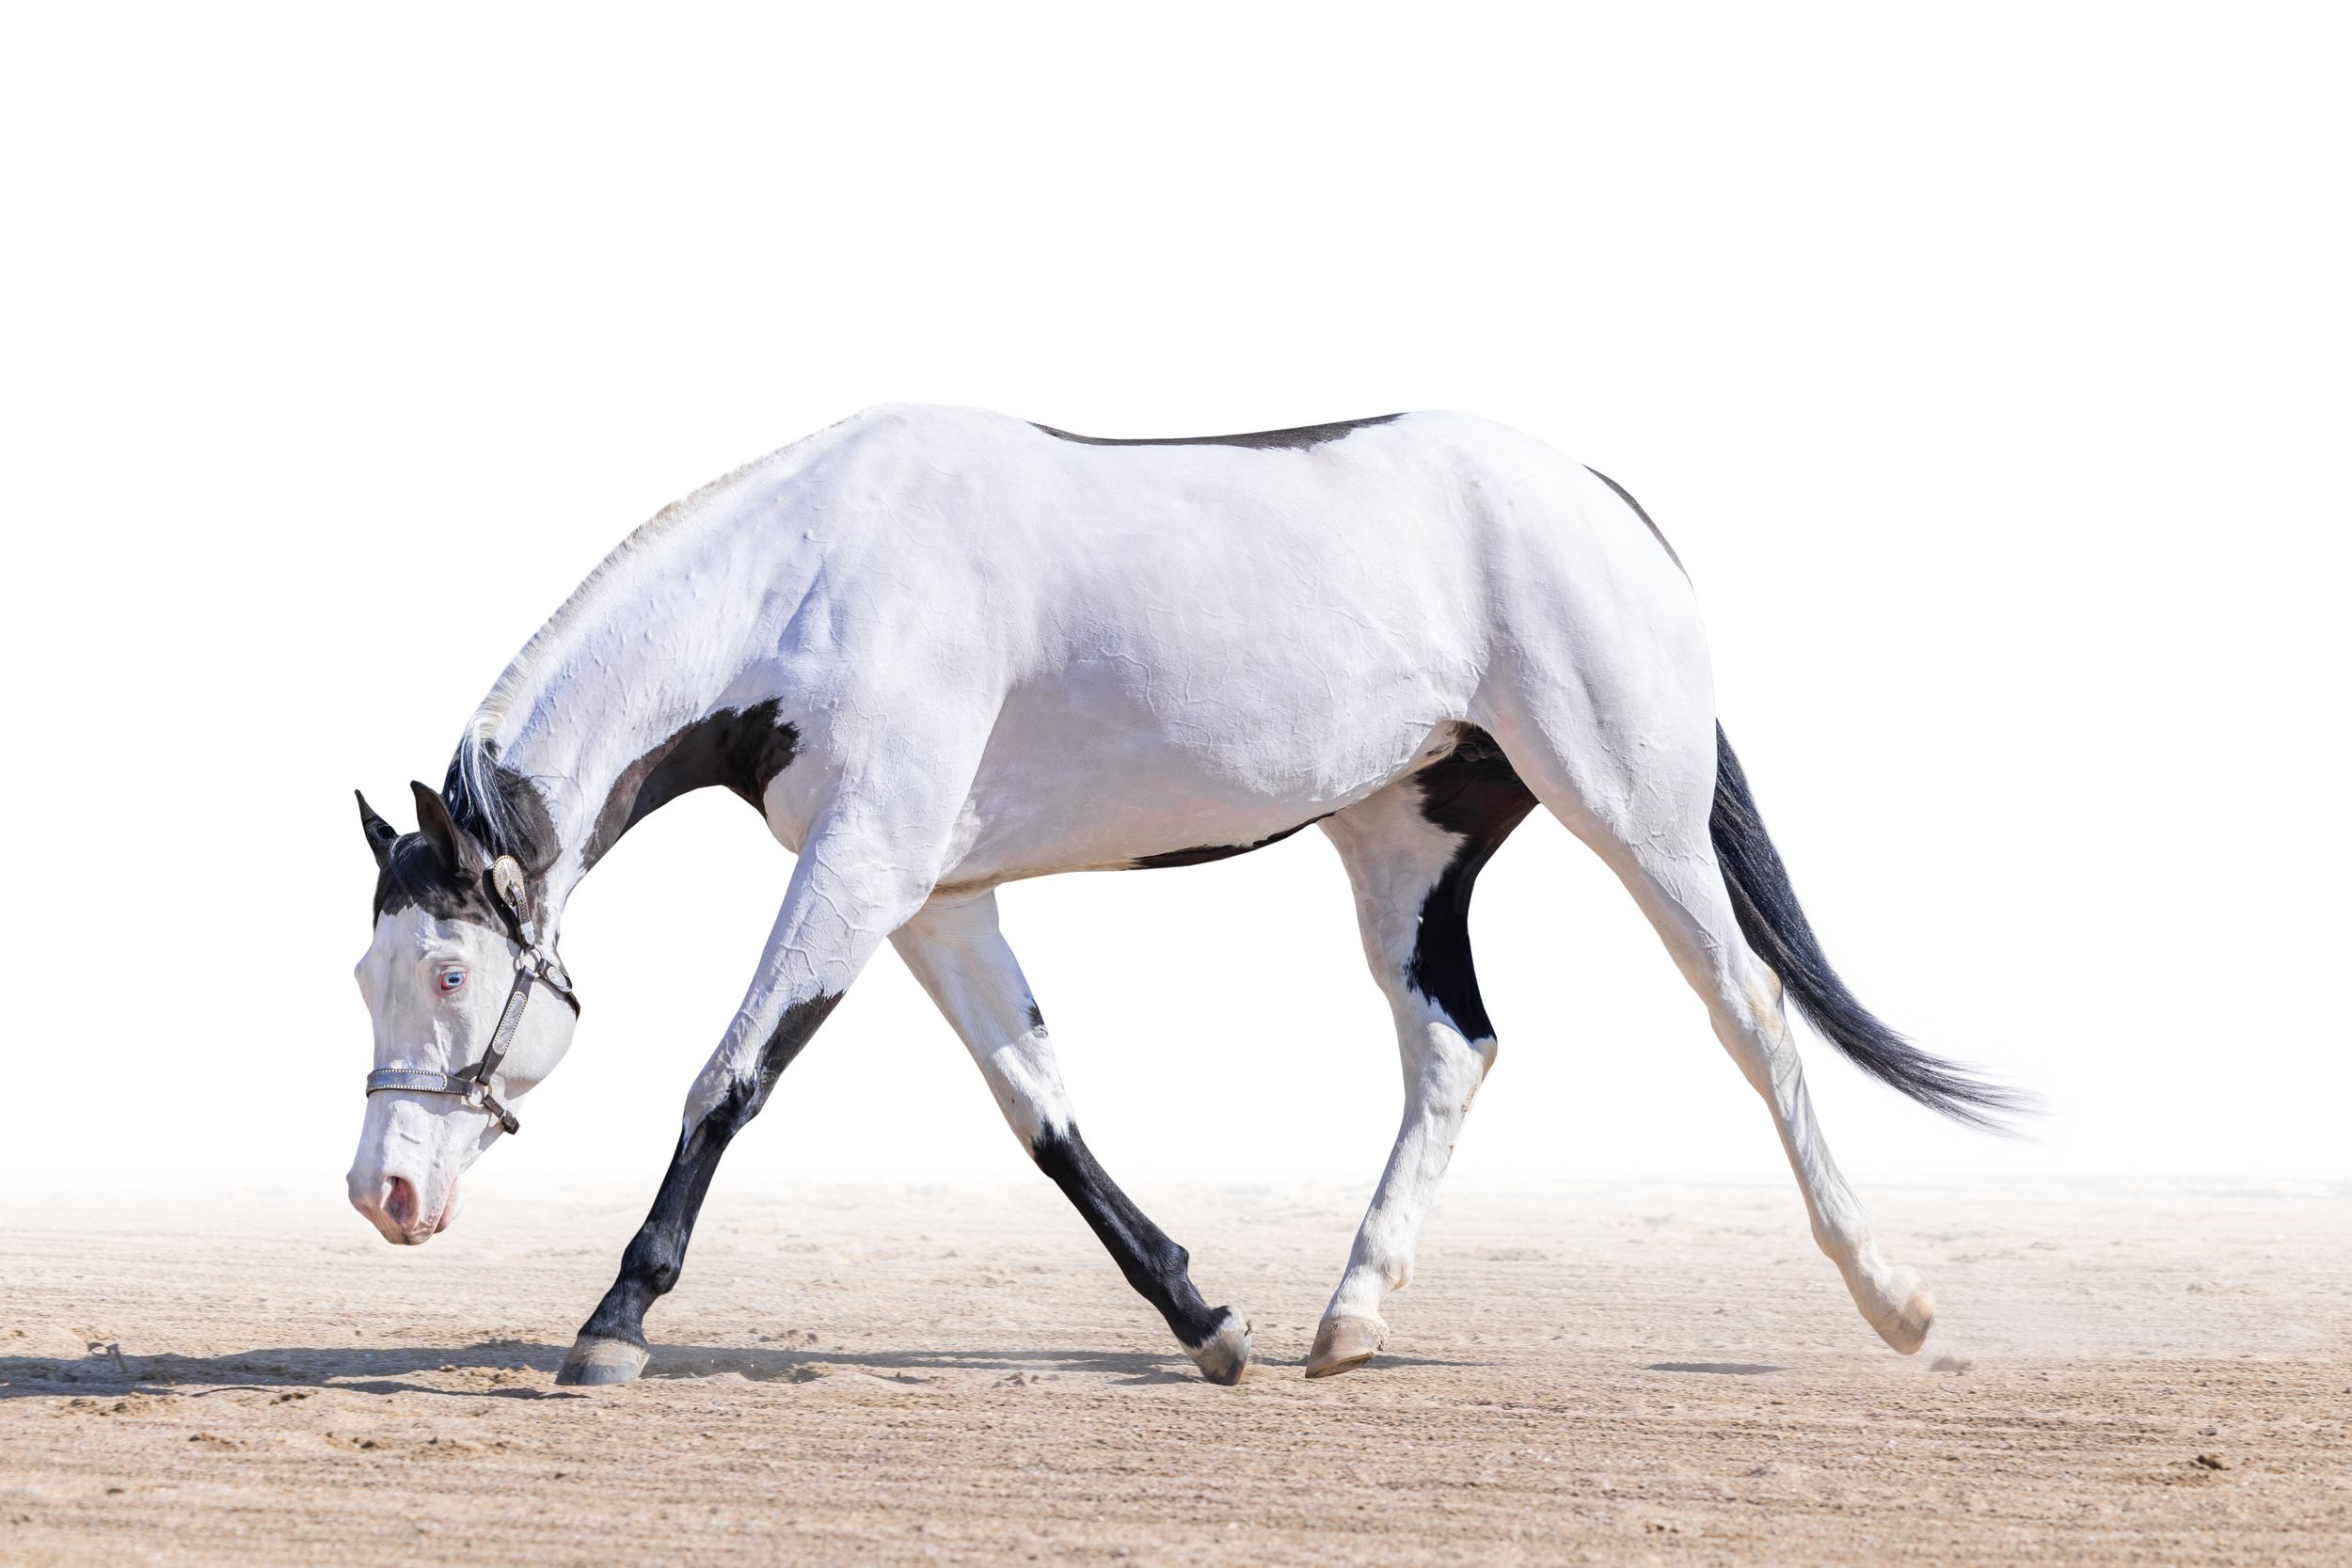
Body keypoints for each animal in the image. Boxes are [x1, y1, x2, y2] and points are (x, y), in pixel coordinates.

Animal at [348, 404, 2018, 1387]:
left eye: (449, 972)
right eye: (366, 974)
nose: (384, 1194)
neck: (811, 581)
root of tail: (1604, 500)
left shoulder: (864, 863)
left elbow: (729, 1076)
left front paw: (612, 1324)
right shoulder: (935, 892)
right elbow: (1042, 1109)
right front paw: (1206, 1322)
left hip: (1637, 808)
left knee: (1751, 1013)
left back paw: (1896, 1298)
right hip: (1404, 846)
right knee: (1454, 1047)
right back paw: (1350, 1316)